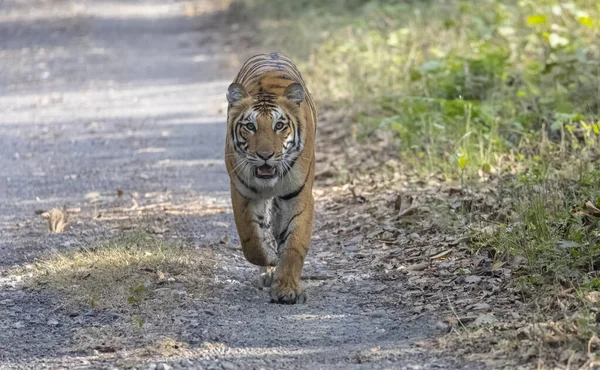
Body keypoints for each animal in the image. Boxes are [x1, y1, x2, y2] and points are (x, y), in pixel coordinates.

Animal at [225, 53, 318, 304]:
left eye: (279, 125)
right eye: (250, 126)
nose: (265, 155)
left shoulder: (299, 196)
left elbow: (294, 244)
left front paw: (286, 288)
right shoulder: (242, 193)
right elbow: (250, 239)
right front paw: (269, 258)